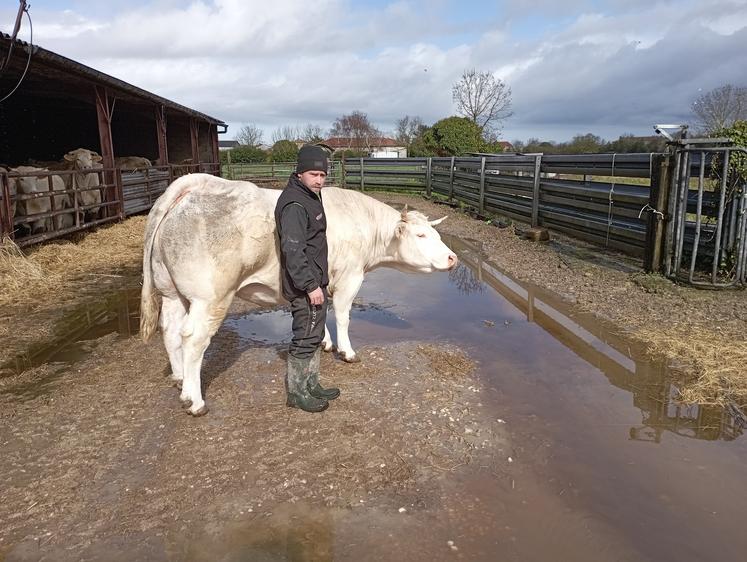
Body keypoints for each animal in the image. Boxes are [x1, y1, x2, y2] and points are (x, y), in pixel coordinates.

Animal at [140, 173, 456, 414]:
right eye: (421, 235)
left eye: (436, 235)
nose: (453, 258)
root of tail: (195, 187)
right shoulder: (351, 277)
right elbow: (343, 316)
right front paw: (347, 351)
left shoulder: (324, 281)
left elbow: (322, 313)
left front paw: (325, 343)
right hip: (210, 298)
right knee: (193, 339)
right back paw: (195, 400)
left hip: (171, 292)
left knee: (170, 330)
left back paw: (180, 380)